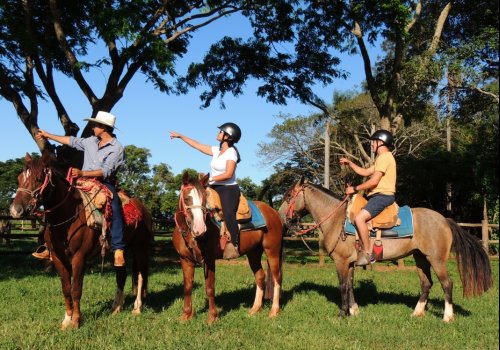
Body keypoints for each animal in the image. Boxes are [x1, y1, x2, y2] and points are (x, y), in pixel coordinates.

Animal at [9, 152, 150, 330]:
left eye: (39, 178)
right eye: (19, 178)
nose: (16, 210)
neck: (68, 216)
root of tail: (143, 209)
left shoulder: (79, 257)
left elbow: (76, 289)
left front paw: (76, 321)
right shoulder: (58, 258)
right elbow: (66, 288)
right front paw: (66, 320)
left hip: (140, 248)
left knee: (140, 274)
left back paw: (137, 308)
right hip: (120, 250)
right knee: (122, 274)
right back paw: (116, 307)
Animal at [172, 171, 282, 324]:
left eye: (204, 199)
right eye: (187, 198)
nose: (200, 229)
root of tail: (273, 213)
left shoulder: (209, 260)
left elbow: (210, 287)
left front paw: (212, 317)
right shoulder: (185, 260)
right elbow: (187, 287)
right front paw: (186, 315)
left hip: (272, 251)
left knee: (277, 277)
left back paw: (274, 311)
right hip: (253, 253)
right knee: (260, 276)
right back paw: (255, 309)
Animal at [280, 178, 494, 322]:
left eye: (289, 195)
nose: (281, 218)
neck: (338, 219)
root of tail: (444, 220)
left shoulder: (341, 262)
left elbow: (342, 285)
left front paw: (342, 314)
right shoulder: (350, 263)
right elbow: (350, 285)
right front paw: (354, 311)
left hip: (437, 259)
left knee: (447, 284)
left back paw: (447, 317)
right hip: (420, 258)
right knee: (426, 283)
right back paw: (416, 313)